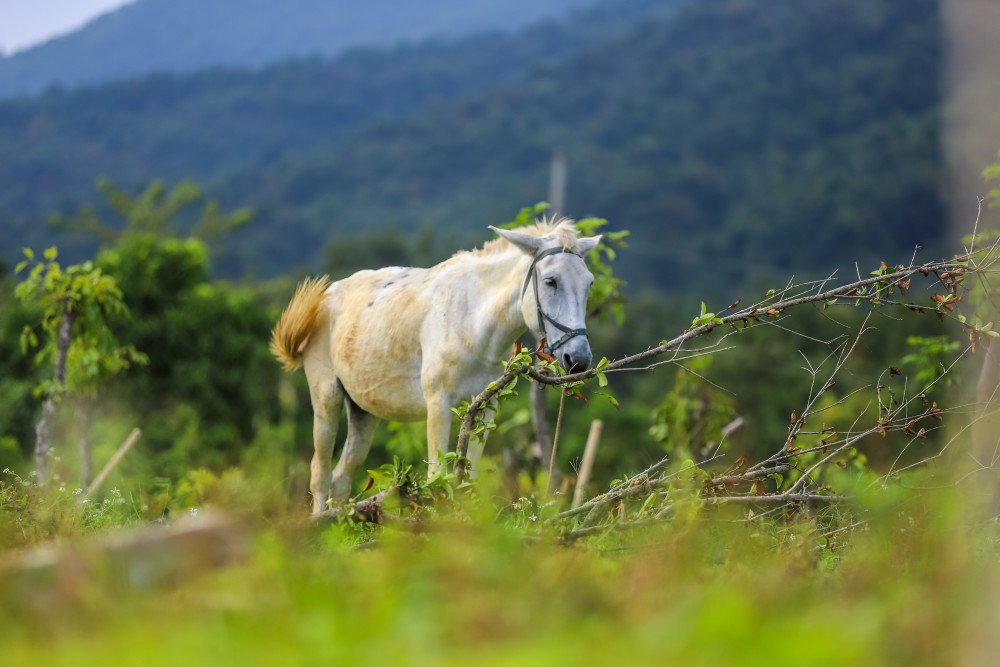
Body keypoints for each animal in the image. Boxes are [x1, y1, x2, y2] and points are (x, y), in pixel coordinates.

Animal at [272, 219, 600, 512]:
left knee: (341, 478)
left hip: (363, 412)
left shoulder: (486, 407)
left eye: (589, 284)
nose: (578, 360)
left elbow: (468, 480)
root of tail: (325, 299)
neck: (471, 320)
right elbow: (436, 479)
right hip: (326, 400)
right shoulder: (438, 404)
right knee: (320, 474)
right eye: (550, 281)